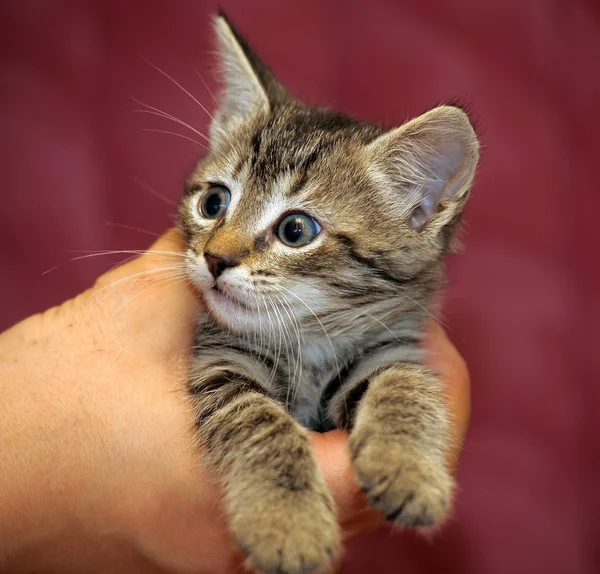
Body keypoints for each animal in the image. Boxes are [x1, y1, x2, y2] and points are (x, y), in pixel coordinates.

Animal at [178, 13, 478, 574]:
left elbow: (404, 383)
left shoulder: (388, 344)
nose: (214, 258)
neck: (309, 342)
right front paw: (286, 523)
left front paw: (410, 472)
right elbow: (257, 421)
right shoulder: (220, 359)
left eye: (296, 230)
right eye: (213, 202)